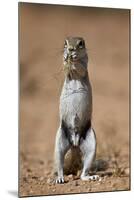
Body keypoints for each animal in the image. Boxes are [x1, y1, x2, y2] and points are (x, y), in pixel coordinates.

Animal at [53, 36, 99, 184]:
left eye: (81, 43)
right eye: (65, 43)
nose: (71, 49)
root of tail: (74, 143)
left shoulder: (85, 63)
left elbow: (81, 67)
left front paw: (73, 57)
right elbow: (64, 65)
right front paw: (66, 56)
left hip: (91, 143)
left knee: (84, 170)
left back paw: (90, 176)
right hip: (60, 141)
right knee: (60, 164)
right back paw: (60, 178)